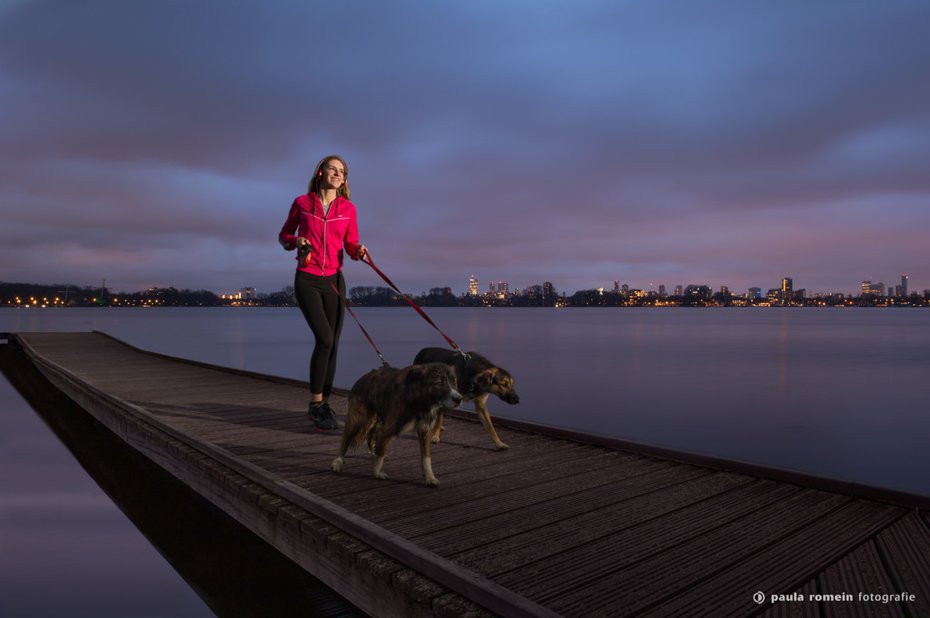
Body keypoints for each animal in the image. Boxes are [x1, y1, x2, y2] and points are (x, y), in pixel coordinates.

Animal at [334, 360, 464, 486]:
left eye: (454, 382)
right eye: (439, 382)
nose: (459, 399)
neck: (419, 400)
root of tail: (363, 378)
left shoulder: (425, 430)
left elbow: (426, 457)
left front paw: (430, 478)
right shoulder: (390, 427)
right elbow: (381, 451)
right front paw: (378, 472)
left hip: (376, 420)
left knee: (371, 435)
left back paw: (372, 452)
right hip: (360, 419)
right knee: (345, 439)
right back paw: (338, 462)